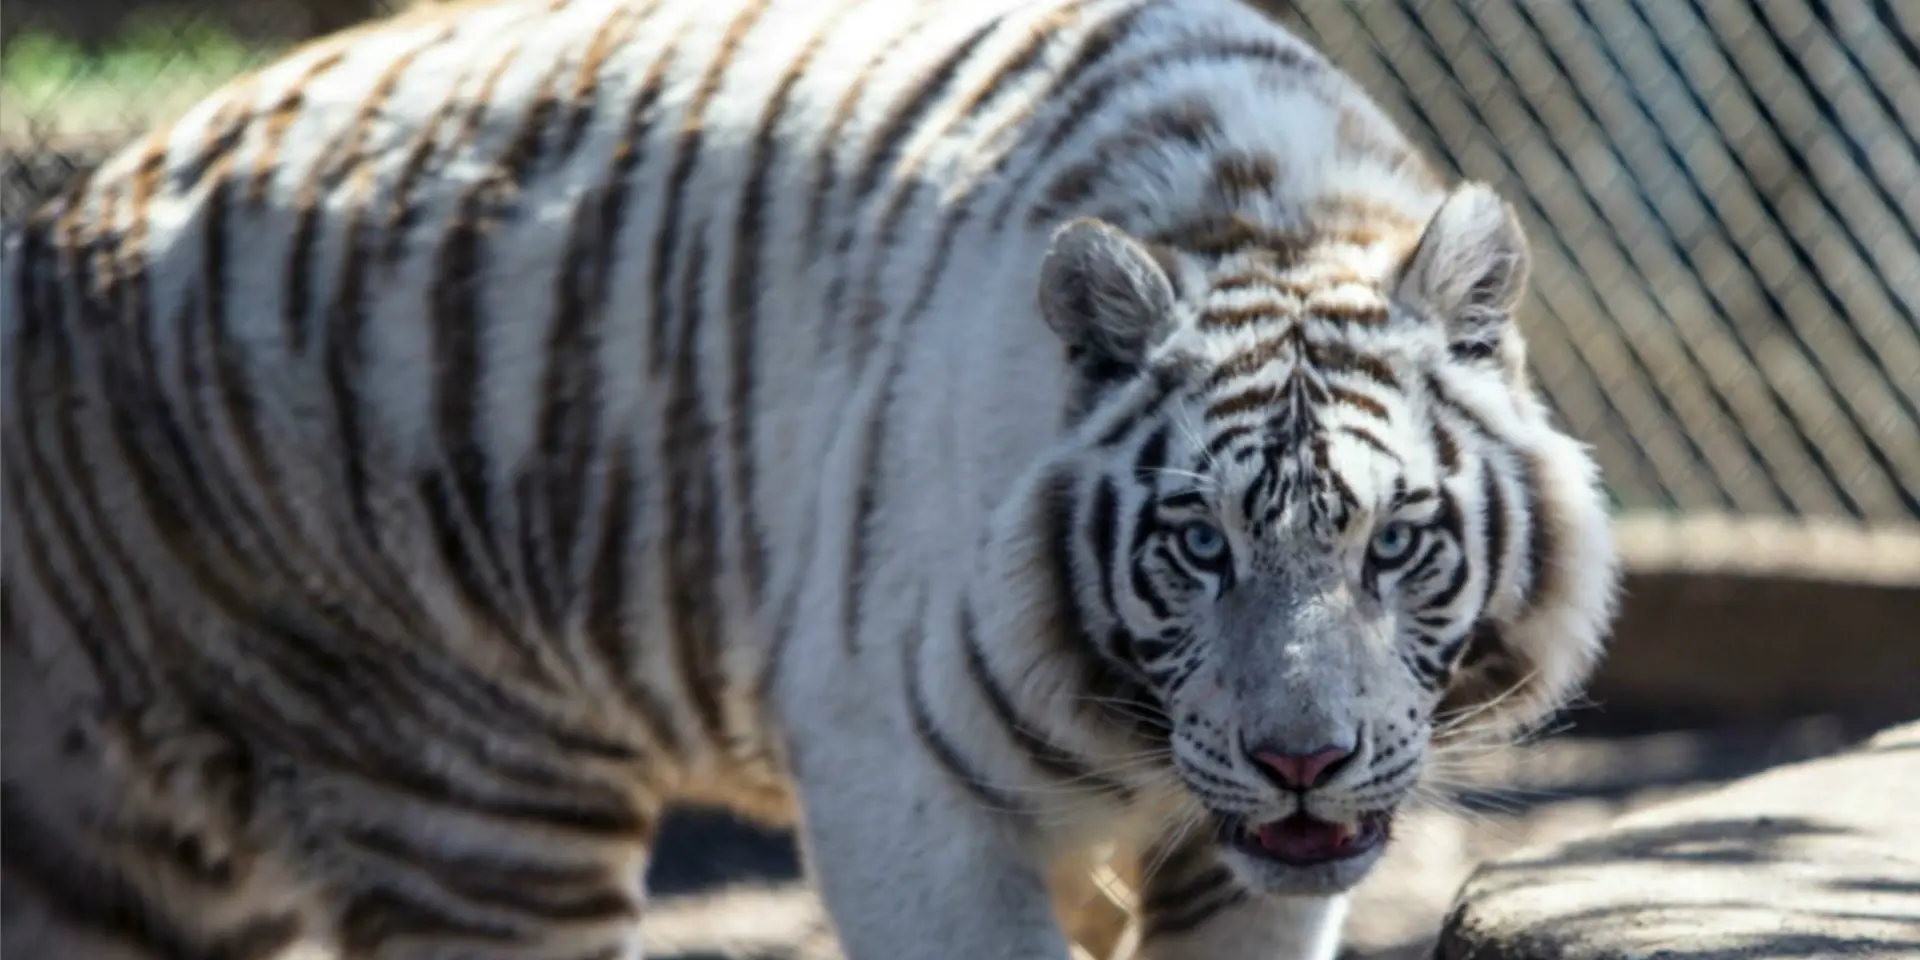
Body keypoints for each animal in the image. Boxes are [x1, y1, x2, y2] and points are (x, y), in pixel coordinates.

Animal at [0, 0, 1623, 957]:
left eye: (1395, 542)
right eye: (1198, 546)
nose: (1301, 760)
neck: (1270, 223)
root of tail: (73, 229)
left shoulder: (1245, 874)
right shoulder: (903, 792)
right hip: (467, 791)